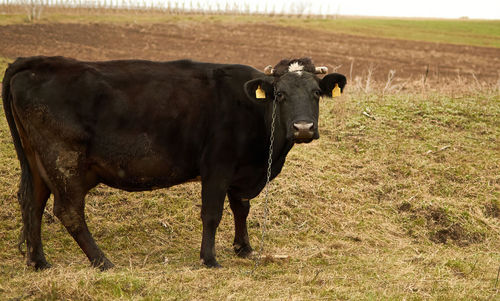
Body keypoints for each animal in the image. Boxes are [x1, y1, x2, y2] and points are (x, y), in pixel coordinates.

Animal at [2, 56, 348, 270]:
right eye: (280, 95)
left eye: (316, 93)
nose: (303, 128)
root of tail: (37, 61)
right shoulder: (217, 166)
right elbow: (212, 214)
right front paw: (209, 259)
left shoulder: (241, 171)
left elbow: (241, 208)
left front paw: (244, 248)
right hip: (64, 160)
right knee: (68, 211)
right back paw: (103, 262)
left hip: (37, 162)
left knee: (31, 203)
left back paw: (39, 262)